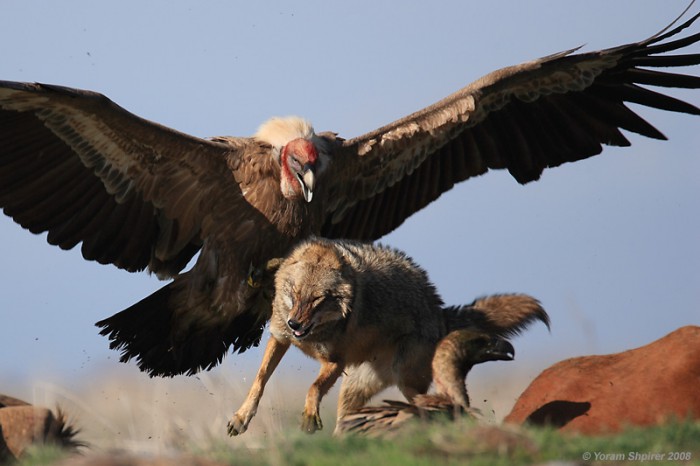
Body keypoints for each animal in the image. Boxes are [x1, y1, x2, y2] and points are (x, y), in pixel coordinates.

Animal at [227, 237, 549, 436]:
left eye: (318, 299)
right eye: (294, 294)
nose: (295, 323)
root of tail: (438, 310)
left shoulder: (335, 361)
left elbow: (313, 388)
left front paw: (309, 417)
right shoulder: (280, 339)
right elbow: (259, 381)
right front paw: (241, 418)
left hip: (406, 382)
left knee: (434, 402)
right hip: (354, 389)